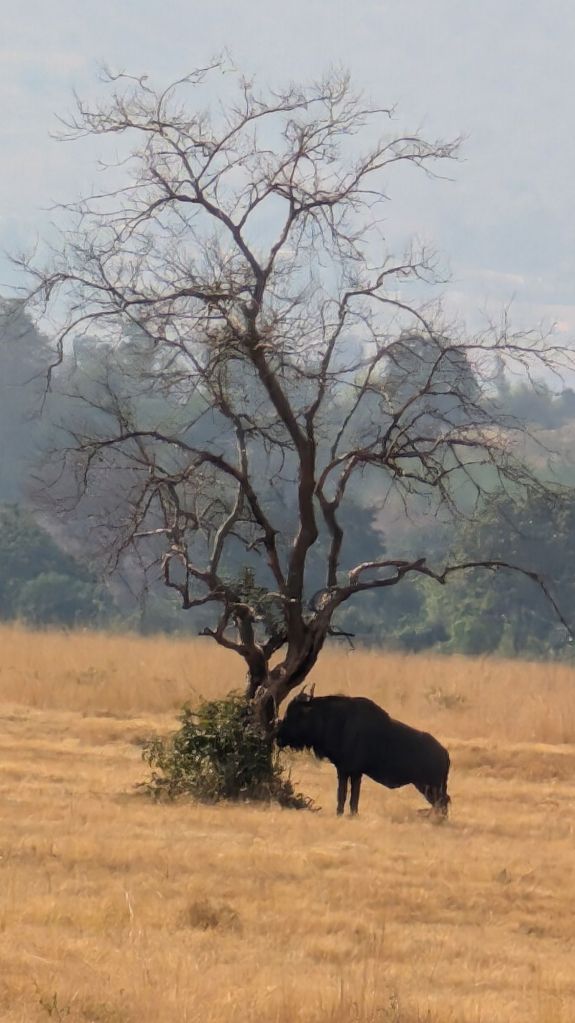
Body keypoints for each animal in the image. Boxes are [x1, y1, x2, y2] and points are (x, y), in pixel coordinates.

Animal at [275, 689, 450, 817]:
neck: (337, 721)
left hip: (430, 786)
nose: (279, 736)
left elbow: (348, 796)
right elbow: (347, 796)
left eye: (295, 713)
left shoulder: (351, 771)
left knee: (443, 802)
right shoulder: (348, 772)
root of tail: (445, 754)